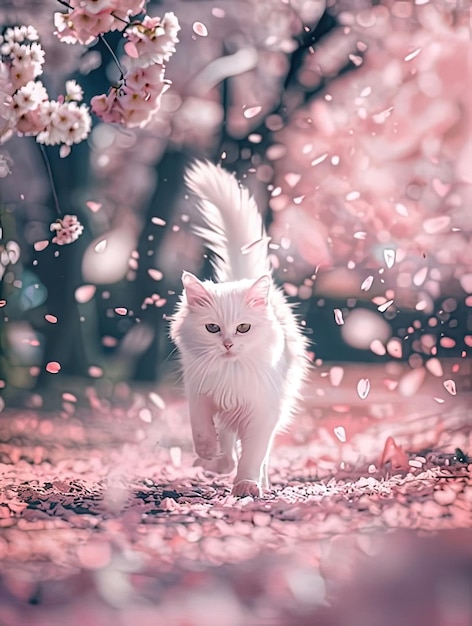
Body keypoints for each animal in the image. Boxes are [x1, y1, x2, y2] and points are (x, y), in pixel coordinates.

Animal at [171, 162, 310, 498]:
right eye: (212, 328)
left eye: (243, 328)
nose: (228, 344)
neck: (230, 374)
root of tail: (240, 278)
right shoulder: (199, 392)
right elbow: (201, 427)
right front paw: (209, 454)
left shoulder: (262, 412)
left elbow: (254, 454)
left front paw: (246, 485)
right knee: (225, 437)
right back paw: (216, 462)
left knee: (257, 453)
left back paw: (256, 479)